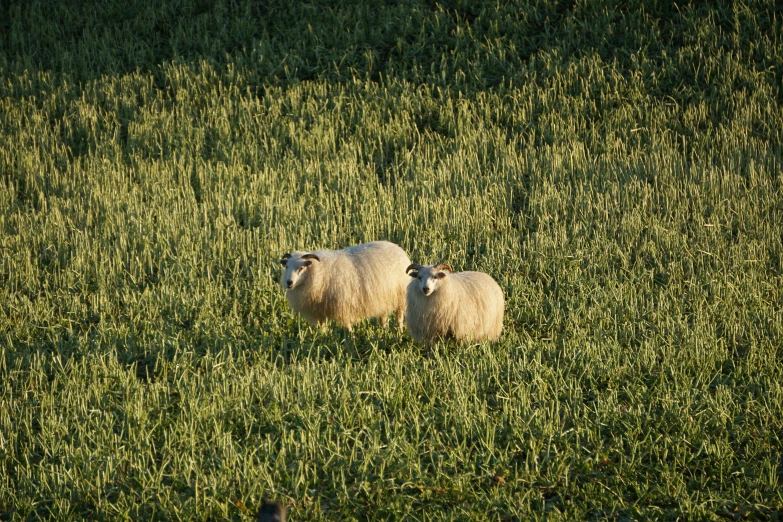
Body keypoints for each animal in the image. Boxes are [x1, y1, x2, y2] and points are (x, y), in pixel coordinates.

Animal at [278, 240, 410, 330]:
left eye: (301, 268)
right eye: (287, 266)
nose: (289, 282)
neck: (320, 272)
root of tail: (397, 248)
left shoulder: (344, 305)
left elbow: (347, 326)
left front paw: (351, 340)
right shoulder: (319, 310)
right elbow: (322, 327)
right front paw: (323, 338)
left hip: (400, 295)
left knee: (399, 316)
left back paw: (399, 331)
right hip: (383, 297)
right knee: (383, 315)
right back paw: (383, 329)